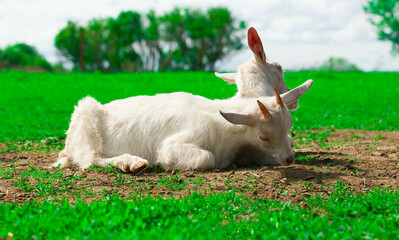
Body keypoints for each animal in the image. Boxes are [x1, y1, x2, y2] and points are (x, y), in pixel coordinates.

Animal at [52, 82, 312, 172]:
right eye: (264, 136)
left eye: (288, 128)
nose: (289, 159)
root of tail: (68, 145)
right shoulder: (176, 143)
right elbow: (205, 158)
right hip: (86, 120)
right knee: (91, 159)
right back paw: (133, 163)